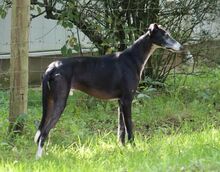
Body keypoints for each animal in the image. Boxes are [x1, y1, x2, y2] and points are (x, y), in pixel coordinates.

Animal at [34, 23, 184, 159]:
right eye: (165, 35)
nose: (182, 47)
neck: (133, 57)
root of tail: (51, 67)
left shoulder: (120, 102)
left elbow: (121, 129)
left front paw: (122, 148)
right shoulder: (127, 101)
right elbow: (129, 128)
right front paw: (134, 148)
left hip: (49, 102)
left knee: (42, 131)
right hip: (60, 102)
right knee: (44, 132)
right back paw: (39, 158)